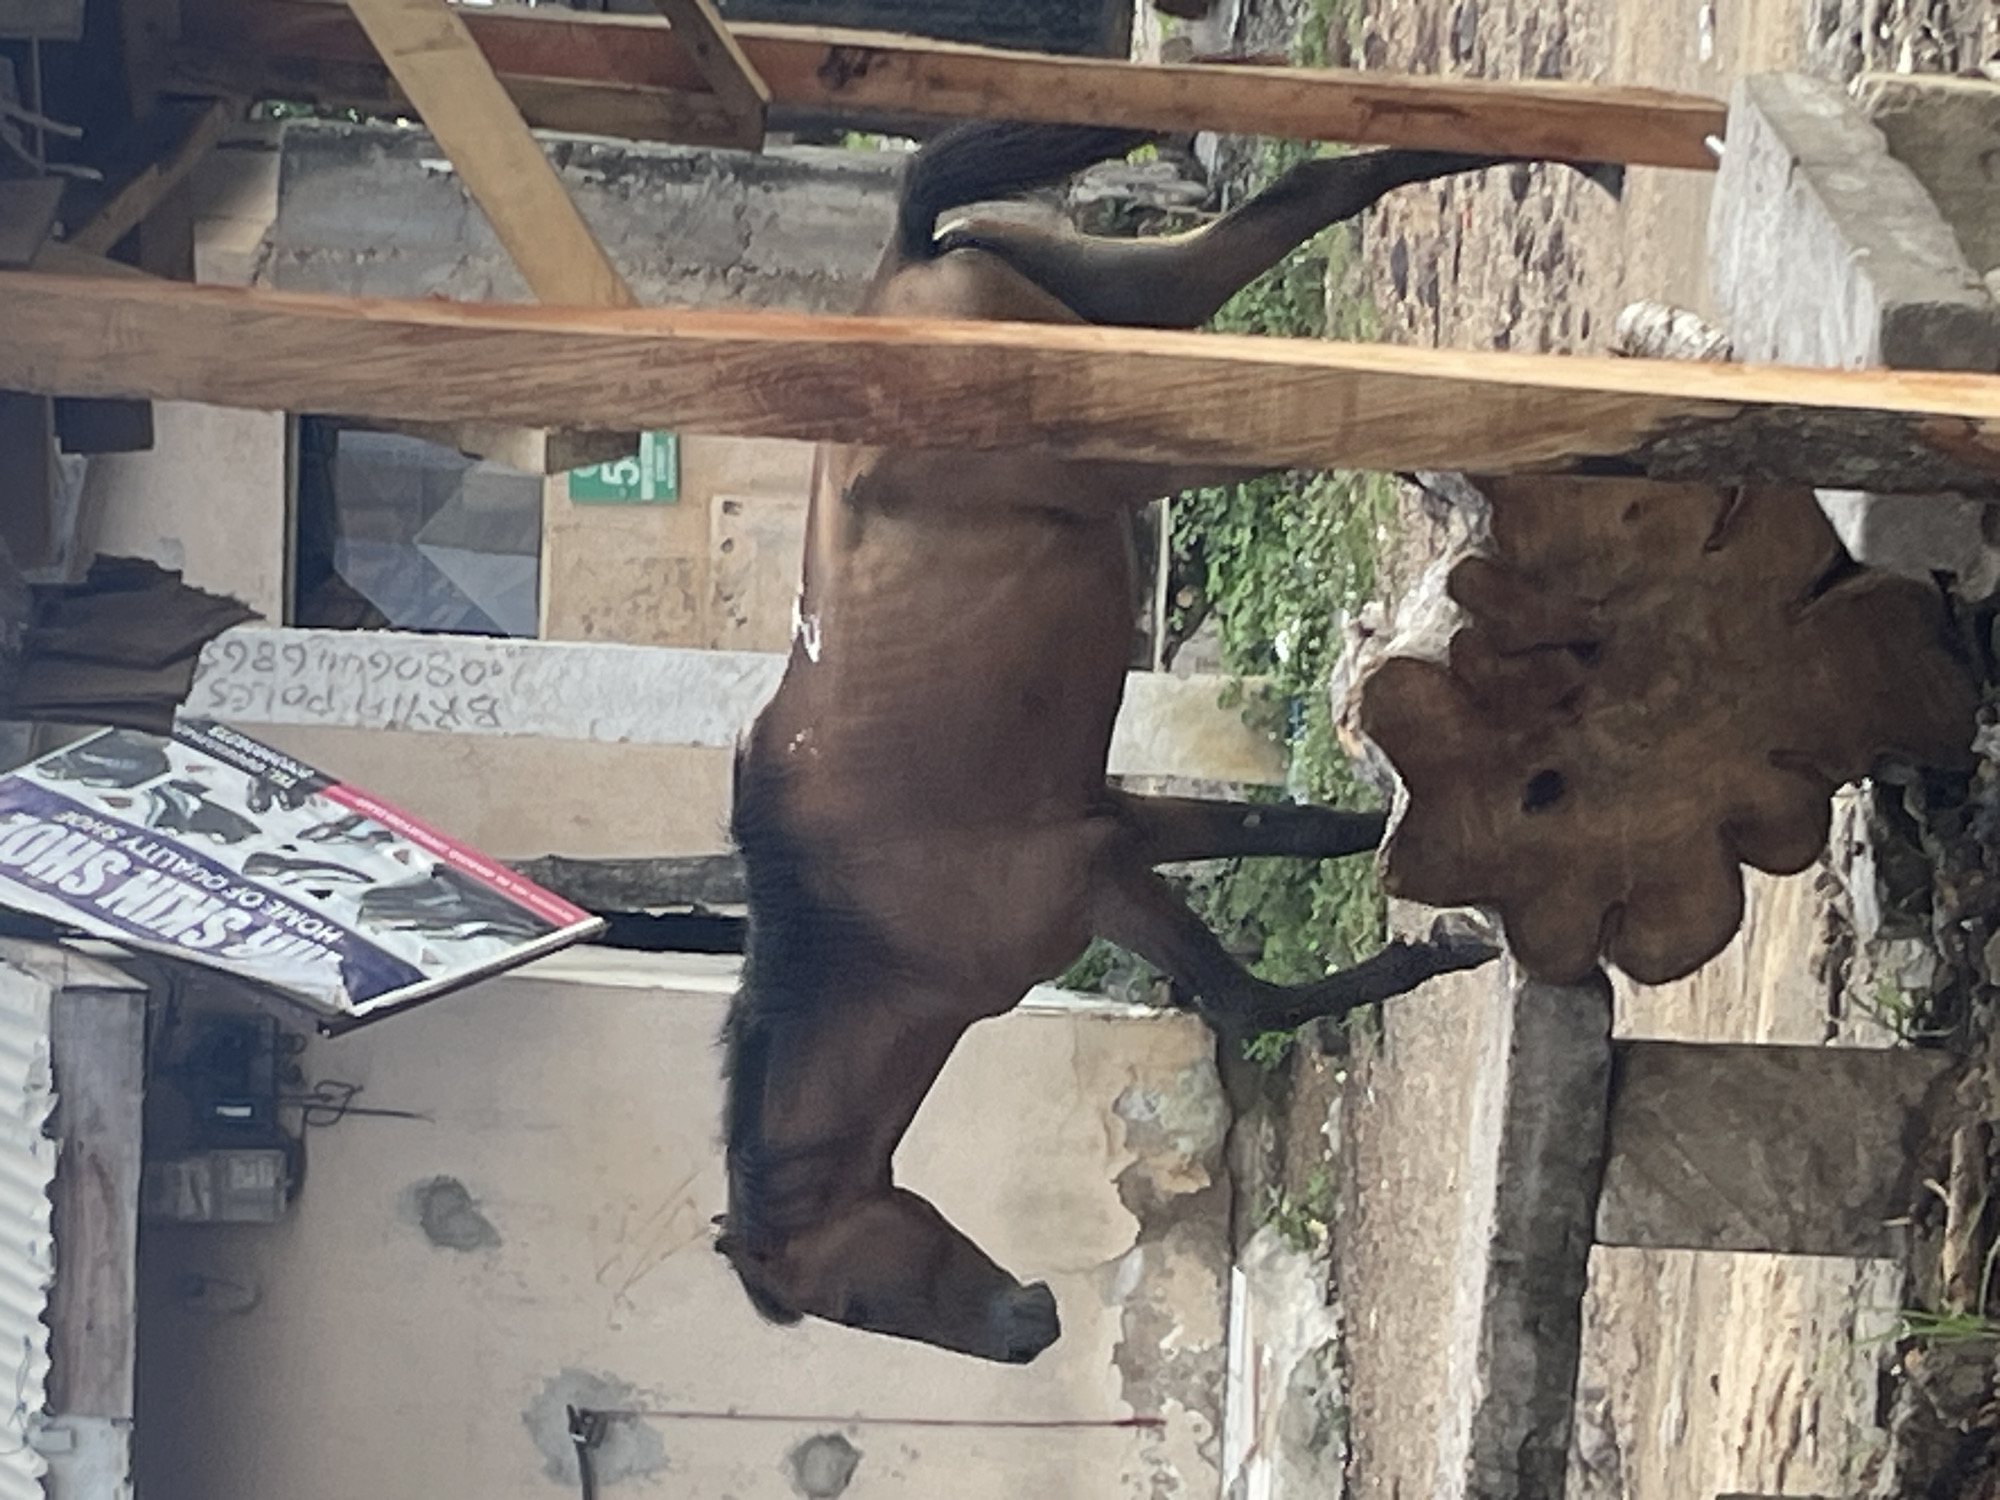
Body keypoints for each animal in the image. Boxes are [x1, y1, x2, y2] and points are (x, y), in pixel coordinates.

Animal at [717, 123, 1614, 1363]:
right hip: (1146, 305)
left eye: (851, 1305)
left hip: (1147, 438)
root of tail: (902, 268)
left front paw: (1439, 941)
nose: (1027, 1331)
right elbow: (1293, 849)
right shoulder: (1122, 827)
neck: (868, 929)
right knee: (1317, 192)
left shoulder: (1101, 880)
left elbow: (1246, 992)